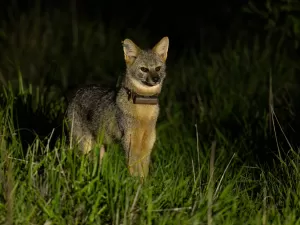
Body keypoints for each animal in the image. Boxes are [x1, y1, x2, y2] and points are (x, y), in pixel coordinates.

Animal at [66, 36, 169, 178]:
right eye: (144, 69)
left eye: (158, 68)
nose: (156, 79)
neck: (144, 113)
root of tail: (76, 93)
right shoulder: (130, 146)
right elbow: (135, 174)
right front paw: (135, 184)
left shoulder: (146, 147)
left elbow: (144, 175)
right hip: (85, 146)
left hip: (100, 149)